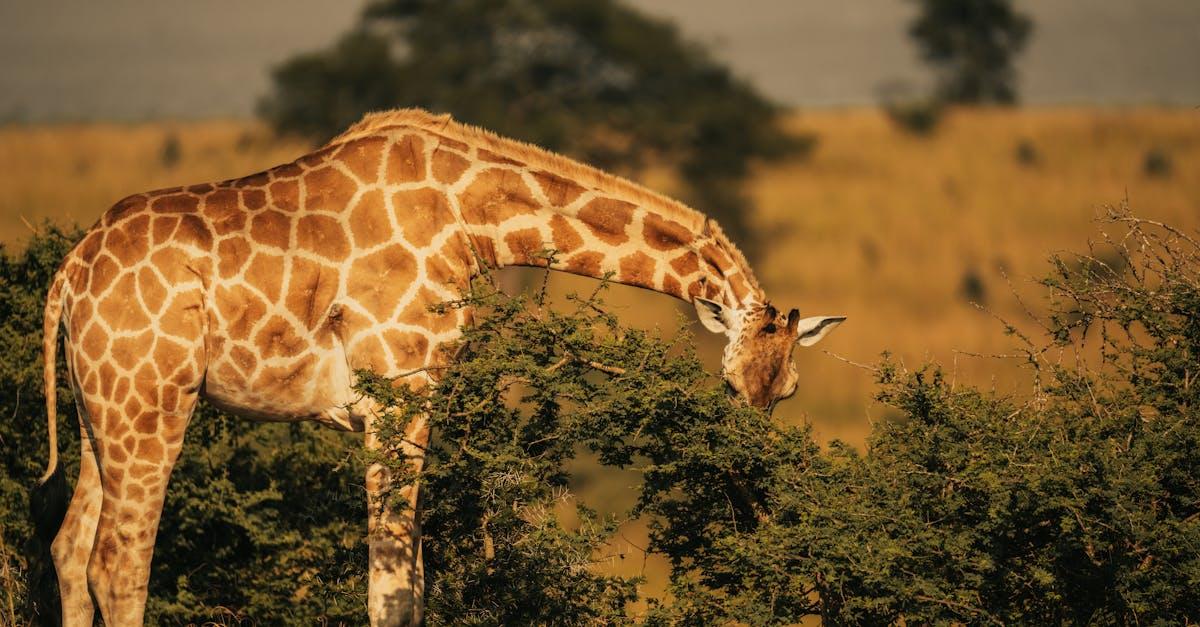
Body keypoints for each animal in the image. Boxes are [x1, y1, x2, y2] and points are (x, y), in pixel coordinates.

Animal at [39, 108, 845, 625]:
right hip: (152, 404)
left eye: (787, 390)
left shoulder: (415, 398)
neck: (474, 218)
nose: (747, 492)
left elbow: (415, 582)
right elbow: (392, 588)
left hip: (97, 411)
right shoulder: (399, 391)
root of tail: (69, 274)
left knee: (70, 550)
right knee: (119, 563)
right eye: (729, 383)